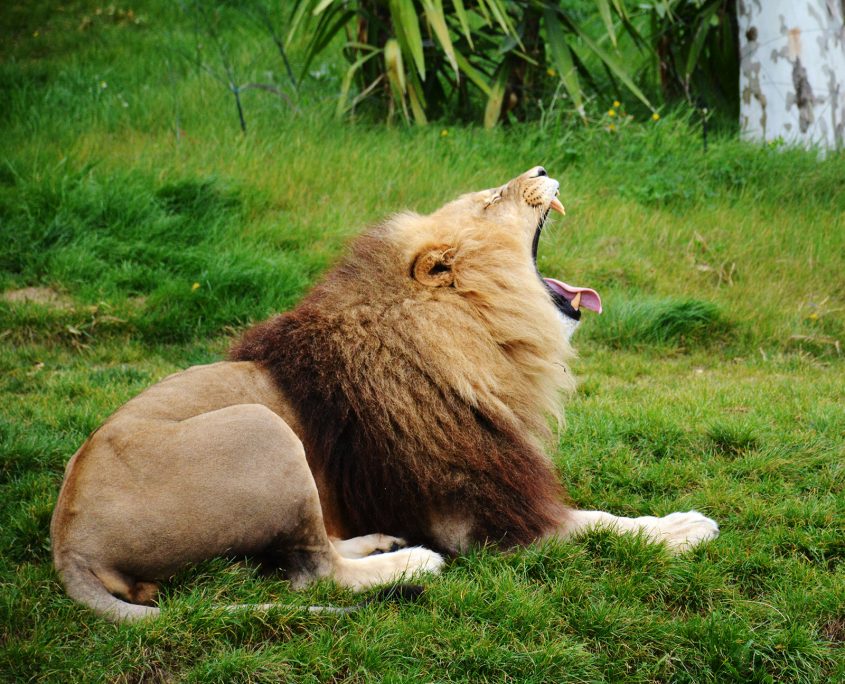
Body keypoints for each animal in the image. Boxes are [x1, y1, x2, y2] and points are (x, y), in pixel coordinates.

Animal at [49, 164, 716, 620]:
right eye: (491, 200)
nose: (540, 170)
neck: (476, 335)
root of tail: (68, 544)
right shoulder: (475, 516)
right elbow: (602, 523)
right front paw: (682, 526)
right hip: (263, 430)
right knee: (316, 574)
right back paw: (411, 560)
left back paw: (380, 539)